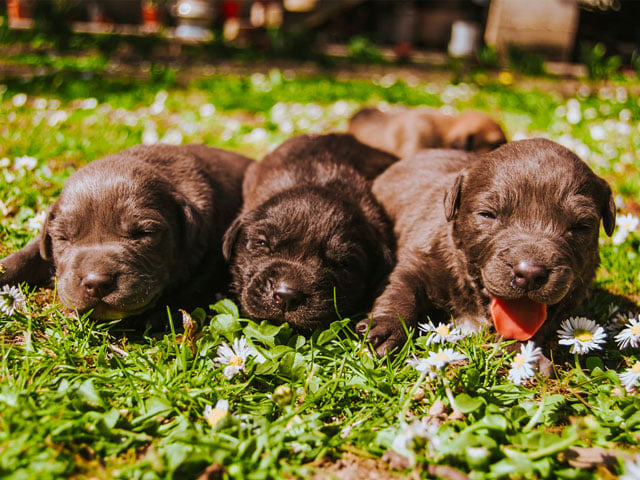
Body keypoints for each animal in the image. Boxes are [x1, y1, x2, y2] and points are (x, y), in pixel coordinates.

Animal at [1, 142, 254, 322]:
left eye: (144, 233)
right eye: (63, 237)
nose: (97, 282)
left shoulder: (213, 251)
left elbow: (195, 286)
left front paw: (159, 317)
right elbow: (30, 252)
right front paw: (5, 269)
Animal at [358, 137, 616, 354]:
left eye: (581, 226)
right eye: (487, 214)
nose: (530, 274)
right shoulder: (419, 257)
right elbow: (401, 288)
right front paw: (387, 329)